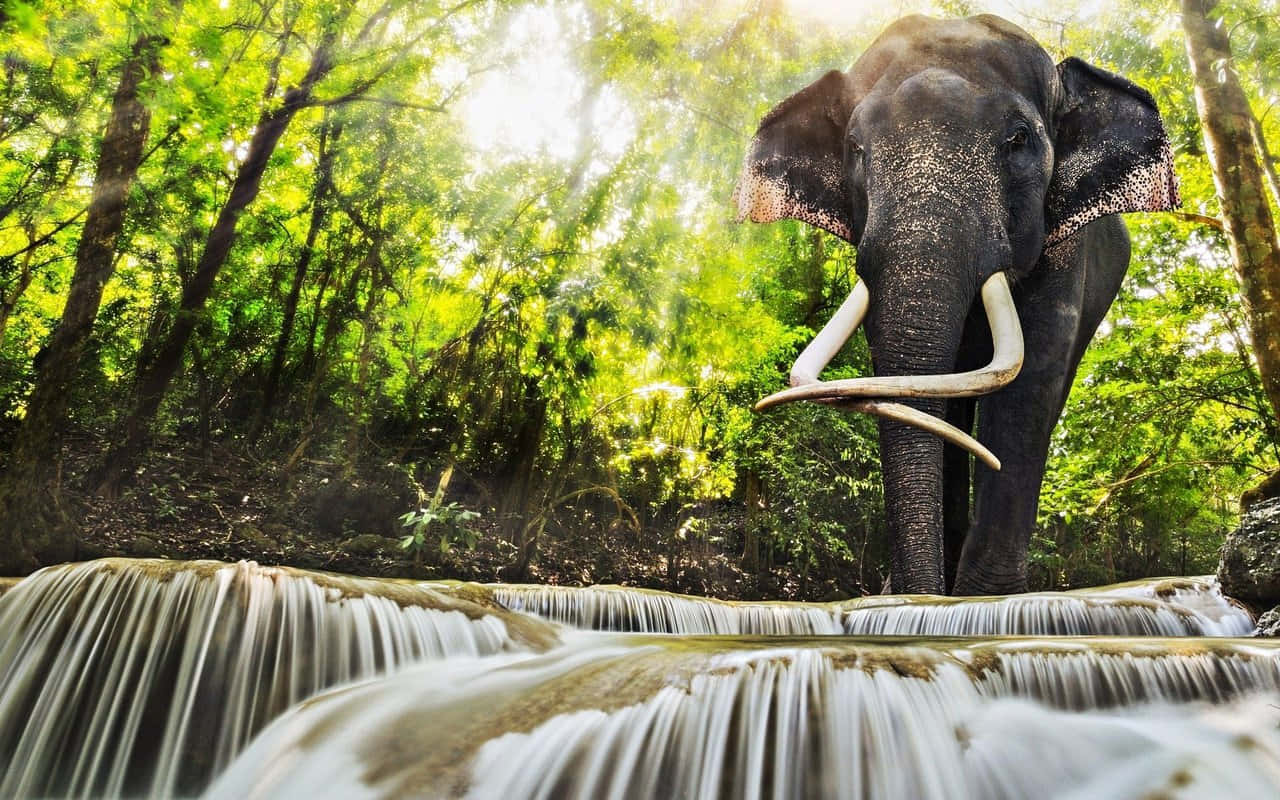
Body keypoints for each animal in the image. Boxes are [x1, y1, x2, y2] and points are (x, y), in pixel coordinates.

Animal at [733, 14, 1179, 595]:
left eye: (1019, 139)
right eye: (855, 147)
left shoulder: (1064, 248)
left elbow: (1030, 381)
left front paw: (985, 601)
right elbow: (916, 389)